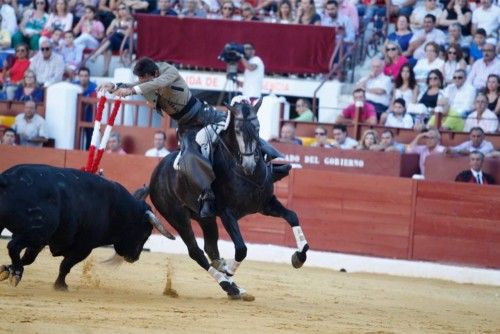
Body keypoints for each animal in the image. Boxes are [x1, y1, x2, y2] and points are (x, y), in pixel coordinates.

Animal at [0, 164, 174, 290]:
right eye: (146, 233)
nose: (134, 258)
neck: (118, 209)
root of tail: (8, 179)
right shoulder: (83, 247)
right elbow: (65, 265)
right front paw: (60, 286)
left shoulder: (41, 241)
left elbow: (28, 259)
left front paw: (7, 269)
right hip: (34, 231)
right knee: (12, 246)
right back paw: (17, 274)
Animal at [140, 99, 308, 298]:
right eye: (237, 131)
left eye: (258, 128)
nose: (249, 164)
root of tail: (155, 176)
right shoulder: (227, 214)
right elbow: (241, 249)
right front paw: (228, 270)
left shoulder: (266, 205)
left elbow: (292, 216)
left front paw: (299, 257)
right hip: (178, 218)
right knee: (196, 252)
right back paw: (228, 284)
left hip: (206, 218)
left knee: (210, 248)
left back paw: (234, 287)